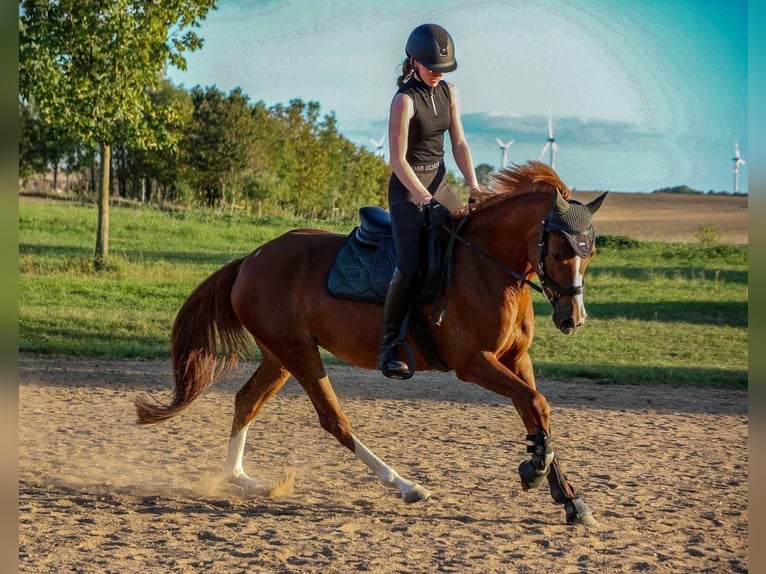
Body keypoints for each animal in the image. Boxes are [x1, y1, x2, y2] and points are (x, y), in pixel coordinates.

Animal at [135, 160, 607, 526]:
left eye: (590, 252)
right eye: (561, 251)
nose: (573, 319)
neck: (488, 266)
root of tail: (250, 259)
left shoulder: (515, 358)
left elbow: (536, 409)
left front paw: (567, 498)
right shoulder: (473, 363)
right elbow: (536, 404)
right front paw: (534, 470)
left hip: (279, 355)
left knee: (247, 400)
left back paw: (241, 478)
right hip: (298, 353)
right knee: (334, 420)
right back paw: (405, 485)